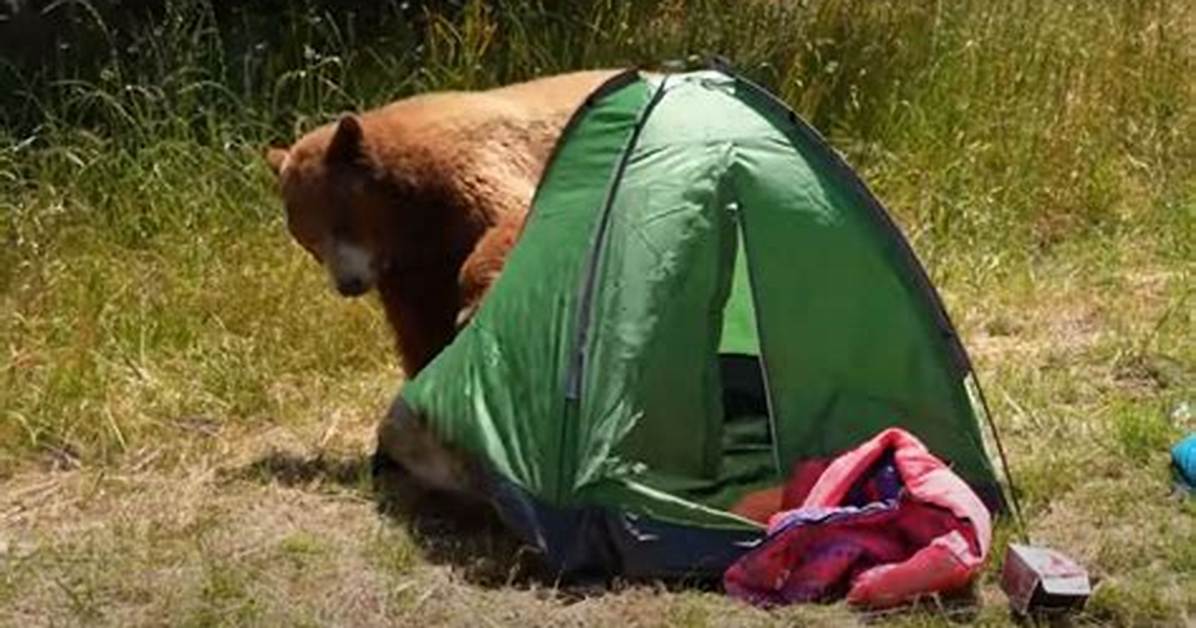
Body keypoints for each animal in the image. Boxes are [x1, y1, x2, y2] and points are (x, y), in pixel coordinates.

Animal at [265, 69, 619, 377]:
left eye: (343, 221)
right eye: (310, 240)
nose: (348, 284)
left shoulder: (470, 173)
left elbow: (515, 217)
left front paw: (471, 307)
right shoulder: (408, 269)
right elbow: (420, 328)